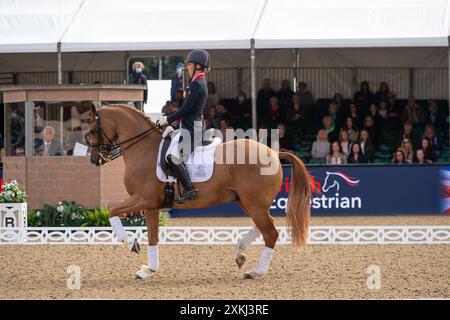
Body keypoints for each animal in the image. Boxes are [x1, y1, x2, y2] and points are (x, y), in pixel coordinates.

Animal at [87, 104, 312, 278]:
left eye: (91, 131)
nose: (94, 159)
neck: (143, 149)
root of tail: (273, 152)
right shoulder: (152, 205)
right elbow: (153, 237)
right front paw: (148, 269)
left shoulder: (143, 199)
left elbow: (112, 211)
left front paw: (130, 242)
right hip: (246, 201)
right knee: (265, 226)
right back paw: (240, 253)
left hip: (254, 204)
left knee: (270, 233)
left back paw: (256, 271)